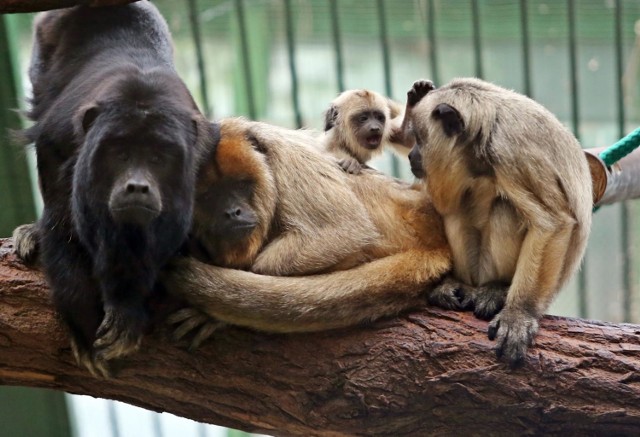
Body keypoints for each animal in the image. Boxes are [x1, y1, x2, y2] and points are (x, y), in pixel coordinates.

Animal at [18, 0, 215, 374]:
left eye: (158, 157)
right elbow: (62, 220)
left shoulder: (207, 153)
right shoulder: (60, 139)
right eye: (120, 154)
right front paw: (81, 317)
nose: (137, 186)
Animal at [408, 77, 592, 364]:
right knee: (456, 209)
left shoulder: (513, 155)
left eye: (419, 139)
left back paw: (497, 288)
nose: (411, 155)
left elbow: (552, 224)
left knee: (505, 208)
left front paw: (519, 314)